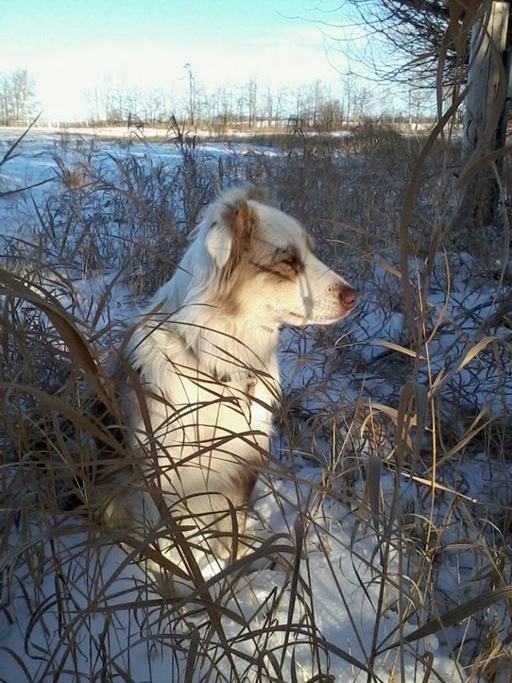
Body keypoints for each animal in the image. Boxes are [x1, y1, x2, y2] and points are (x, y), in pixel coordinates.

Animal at [108, 185, 357, 595]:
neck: (219, 368)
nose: (354, 296)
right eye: (289, 260)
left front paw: (236, 568)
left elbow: (235, 527)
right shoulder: (163, 472)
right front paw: (178, 584)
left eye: (311, 251)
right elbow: (170, 543)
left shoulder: (244, 459)